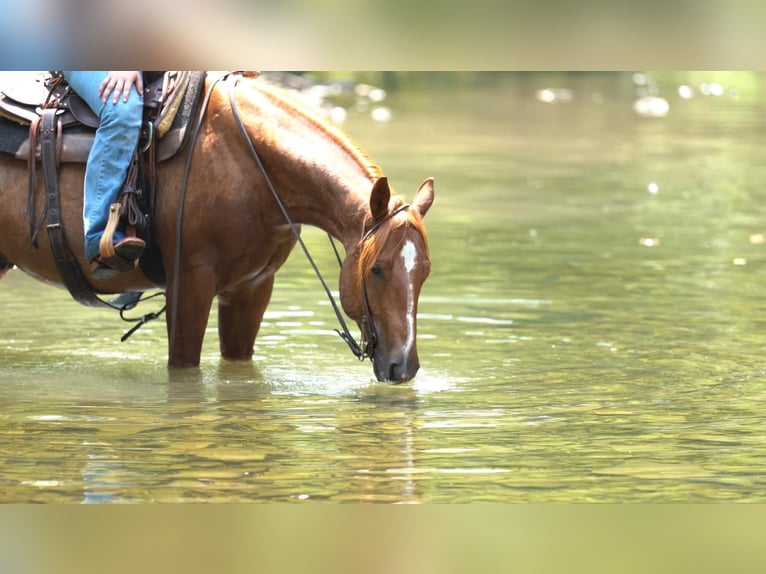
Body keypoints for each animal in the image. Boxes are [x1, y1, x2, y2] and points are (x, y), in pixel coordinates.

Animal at [0, 72, 434, 382]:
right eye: (377, 270)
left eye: (425, 273)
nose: (404, 368)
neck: (252, 164)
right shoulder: (190, 284)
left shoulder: (252, 289)